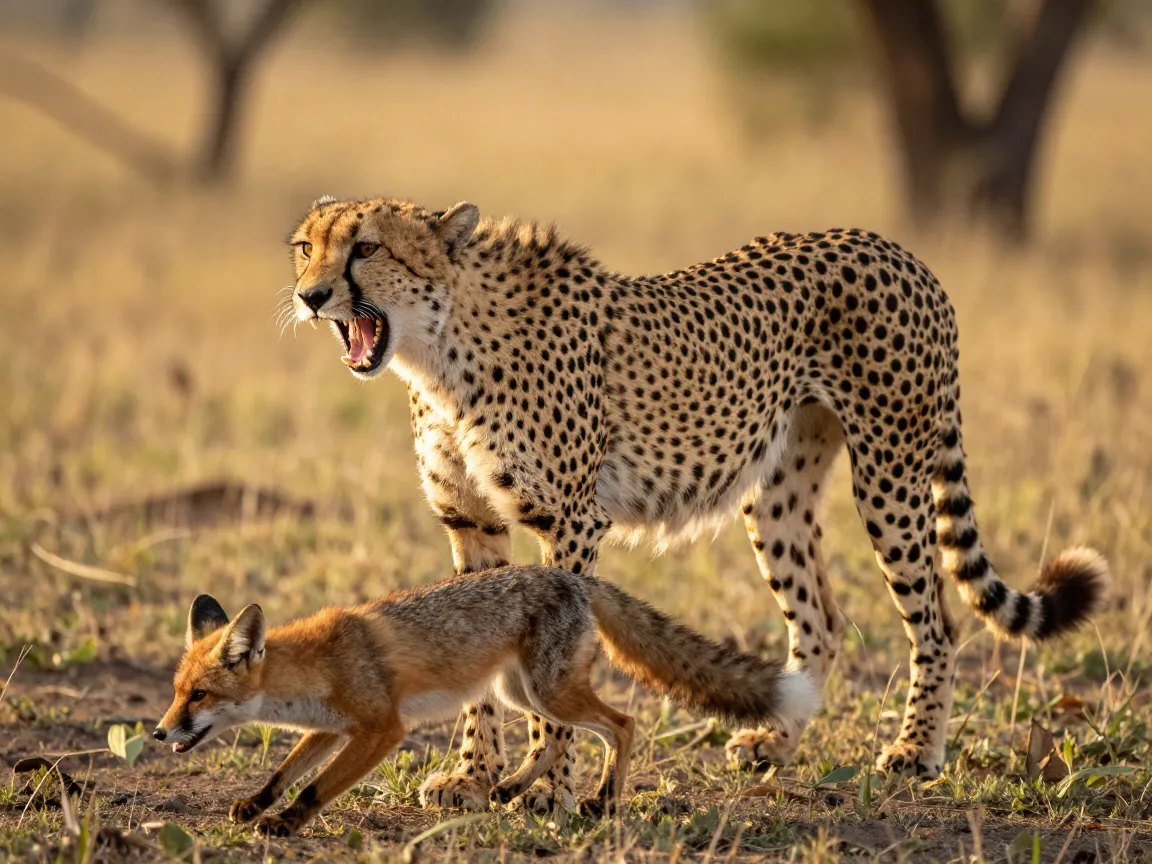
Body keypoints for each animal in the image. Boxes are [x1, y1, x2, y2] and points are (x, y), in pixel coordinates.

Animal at [155, 565, 818, 836]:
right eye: (176, 693)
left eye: (199, 695)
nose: (159, 733)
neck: (314, 666)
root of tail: (575, 578)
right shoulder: (332, 728)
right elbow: (285, 770)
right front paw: (253, 805)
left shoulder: (380, 730)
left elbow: (315, 788)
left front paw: (284, 824)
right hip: (519, 690)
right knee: (558, 739)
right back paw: (511, 788)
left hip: (548, 691)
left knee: (623, 723)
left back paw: (603, 800)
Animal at [283, 195, 1109, 813]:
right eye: (304, 248)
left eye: (366, 248)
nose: (309, 297)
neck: (440, 350)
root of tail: (894, 248)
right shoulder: (472, 521)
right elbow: (475, 659)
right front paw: (472, 779)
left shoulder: (571, 521)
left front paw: (546, 789)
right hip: (777, 495)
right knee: (820, 620)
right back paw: (776, 742)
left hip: (890, 468)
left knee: (935, 619)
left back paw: (913, 751)